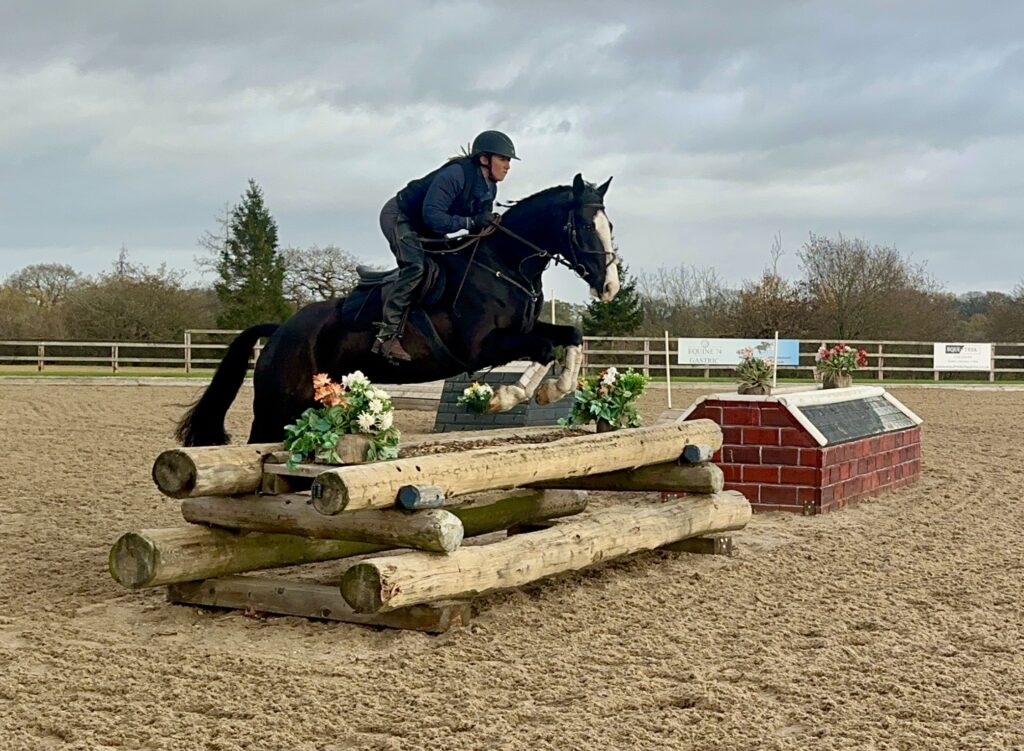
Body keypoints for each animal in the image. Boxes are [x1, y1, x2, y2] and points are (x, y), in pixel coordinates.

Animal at [176, 173, 619, 446]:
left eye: (609, 226)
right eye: (584, 226)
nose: (609, 287)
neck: (504, 262)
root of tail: (280, 330)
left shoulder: (524, 329)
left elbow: (570, 336)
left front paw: (554, 389)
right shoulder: (480, 348)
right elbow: (543, 349)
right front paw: (506, 398)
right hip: (276, 407)